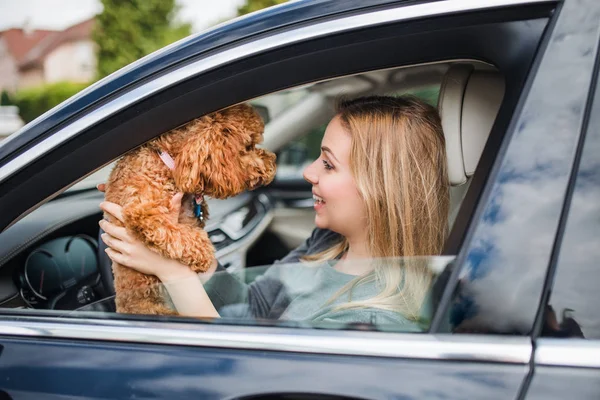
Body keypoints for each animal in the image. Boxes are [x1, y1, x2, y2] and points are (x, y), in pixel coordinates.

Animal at [105, 104, 276, 316]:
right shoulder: (144, 212)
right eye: (249, 146)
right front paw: (203, 254)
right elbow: (178, 235)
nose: (273, 162)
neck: (165, 160)